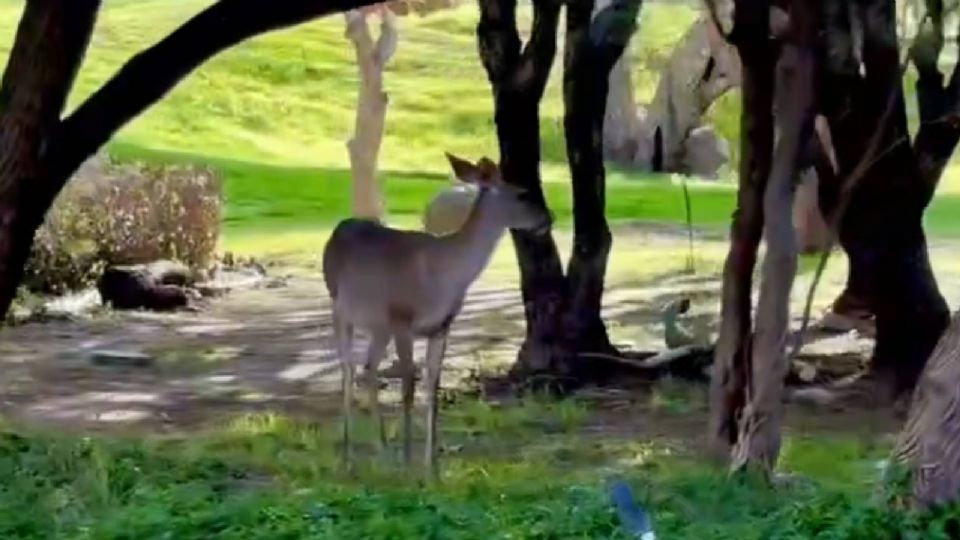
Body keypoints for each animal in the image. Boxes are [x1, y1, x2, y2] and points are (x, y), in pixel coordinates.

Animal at [320, 153, 548, 476]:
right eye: (522, 194)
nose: (547, 219)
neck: (444, 273)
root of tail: (339, 227)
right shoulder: (403, 318)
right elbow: (407, 390)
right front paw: (408, 462)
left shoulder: (441, 326)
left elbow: (432, 389)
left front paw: (433, 468)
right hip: (341, 307)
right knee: (348, 370)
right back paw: (349, 455)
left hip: (379, 325)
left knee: (369, 367)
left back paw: (382, 450)